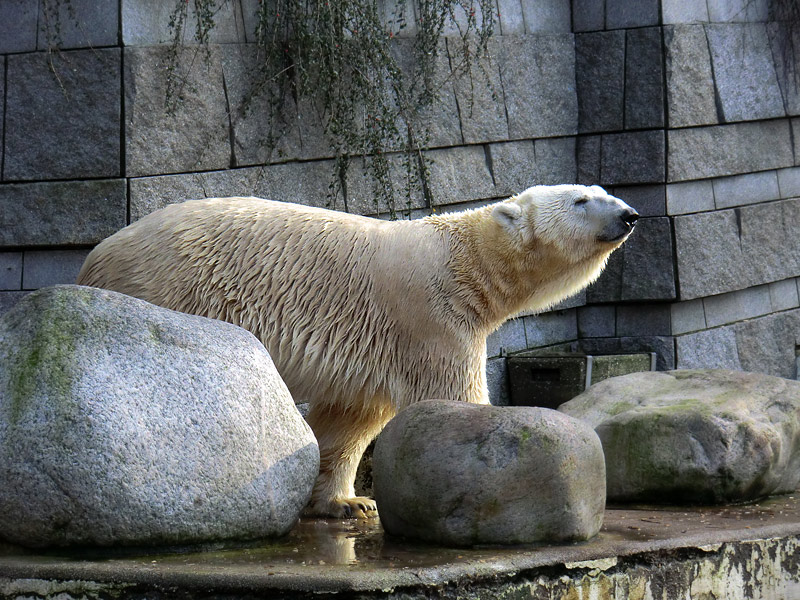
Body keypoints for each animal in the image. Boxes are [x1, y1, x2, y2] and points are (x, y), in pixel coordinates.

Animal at [76, 185, 636, 516]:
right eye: (581, 200)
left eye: (603, 192)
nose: (630, 214)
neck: (465, 264)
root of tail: (95, 257)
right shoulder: (429, 319)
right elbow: (455, 398)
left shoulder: (375, 347)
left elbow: (353, 418)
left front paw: (347, 503)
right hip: (166, 291)